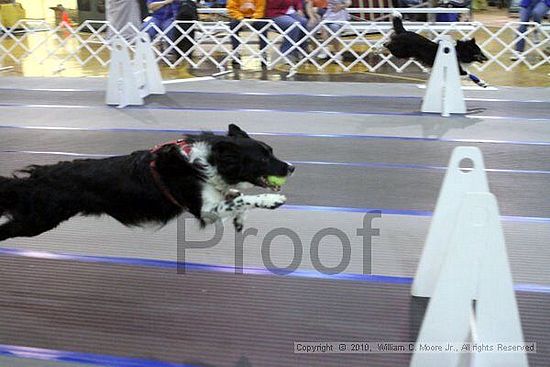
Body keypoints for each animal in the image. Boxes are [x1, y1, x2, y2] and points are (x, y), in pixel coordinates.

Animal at [0, 125, 294, 243]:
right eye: (264, 157)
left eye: (271, 151)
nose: (291, 167)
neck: (207, 160)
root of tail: (37, 177)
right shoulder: (203, 210)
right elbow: (242, 198)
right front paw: (271, 201)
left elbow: (234, 196)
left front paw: (240, 220)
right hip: (38, 220)